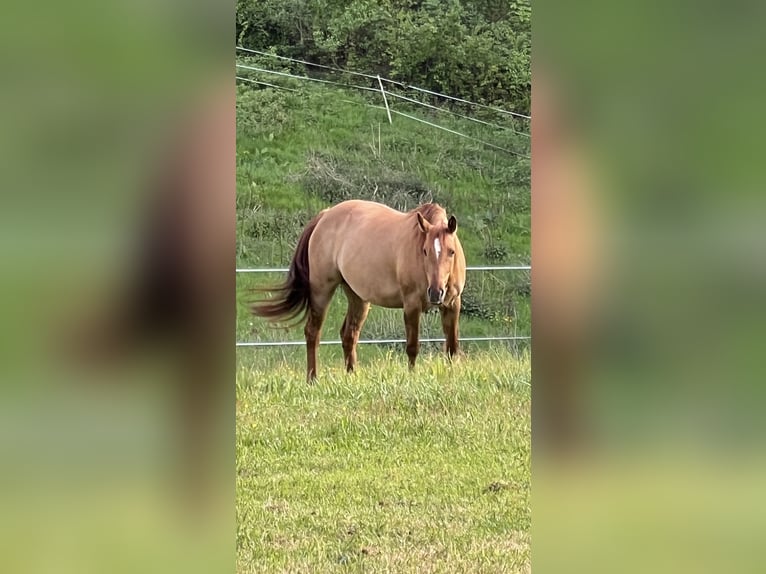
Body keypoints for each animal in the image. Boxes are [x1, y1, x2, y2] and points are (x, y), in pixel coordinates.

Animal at [252, 200, 468, 384]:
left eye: (451, 251)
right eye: (424, 251)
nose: (435, 293)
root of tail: (325, 215)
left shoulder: (452, 305)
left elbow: (452, 348)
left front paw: (452, 377)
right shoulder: (411, 305)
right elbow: (412, 347)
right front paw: (412, 379)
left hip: (358, 297)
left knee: (349, 334)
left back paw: (352, 377)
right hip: (321, 290)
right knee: (313, 332)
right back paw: (312, 379)